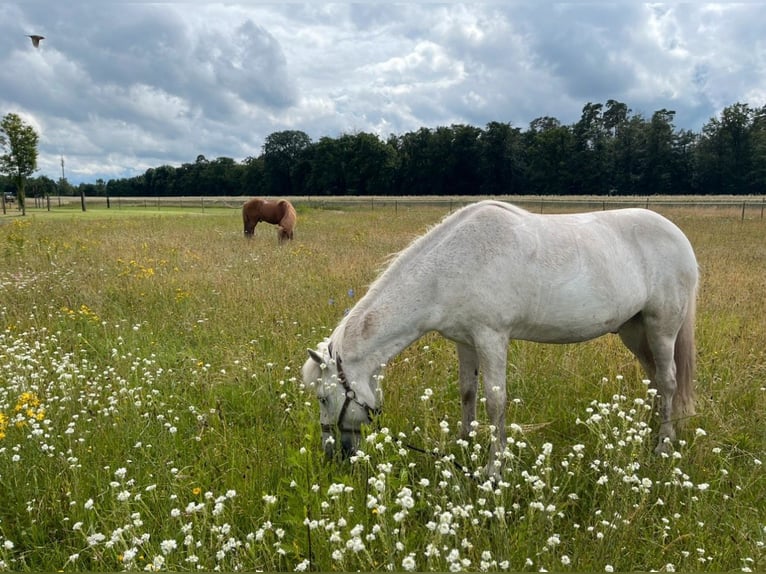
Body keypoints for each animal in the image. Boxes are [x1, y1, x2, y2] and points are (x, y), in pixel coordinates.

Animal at [304, 202, 700, 476]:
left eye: (324, 397)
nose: (333, 454)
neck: (451, 267)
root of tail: (678, 236)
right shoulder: (465, 341)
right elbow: (467, 393)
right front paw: (463, 447)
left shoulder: (491, 337)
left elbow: (495, 401)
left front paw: (494, 469)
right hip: (634, 330)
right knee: (654, 380)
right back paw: (649, 433)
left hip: (662, 327)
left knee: (667, 381)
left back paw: (663, 446)